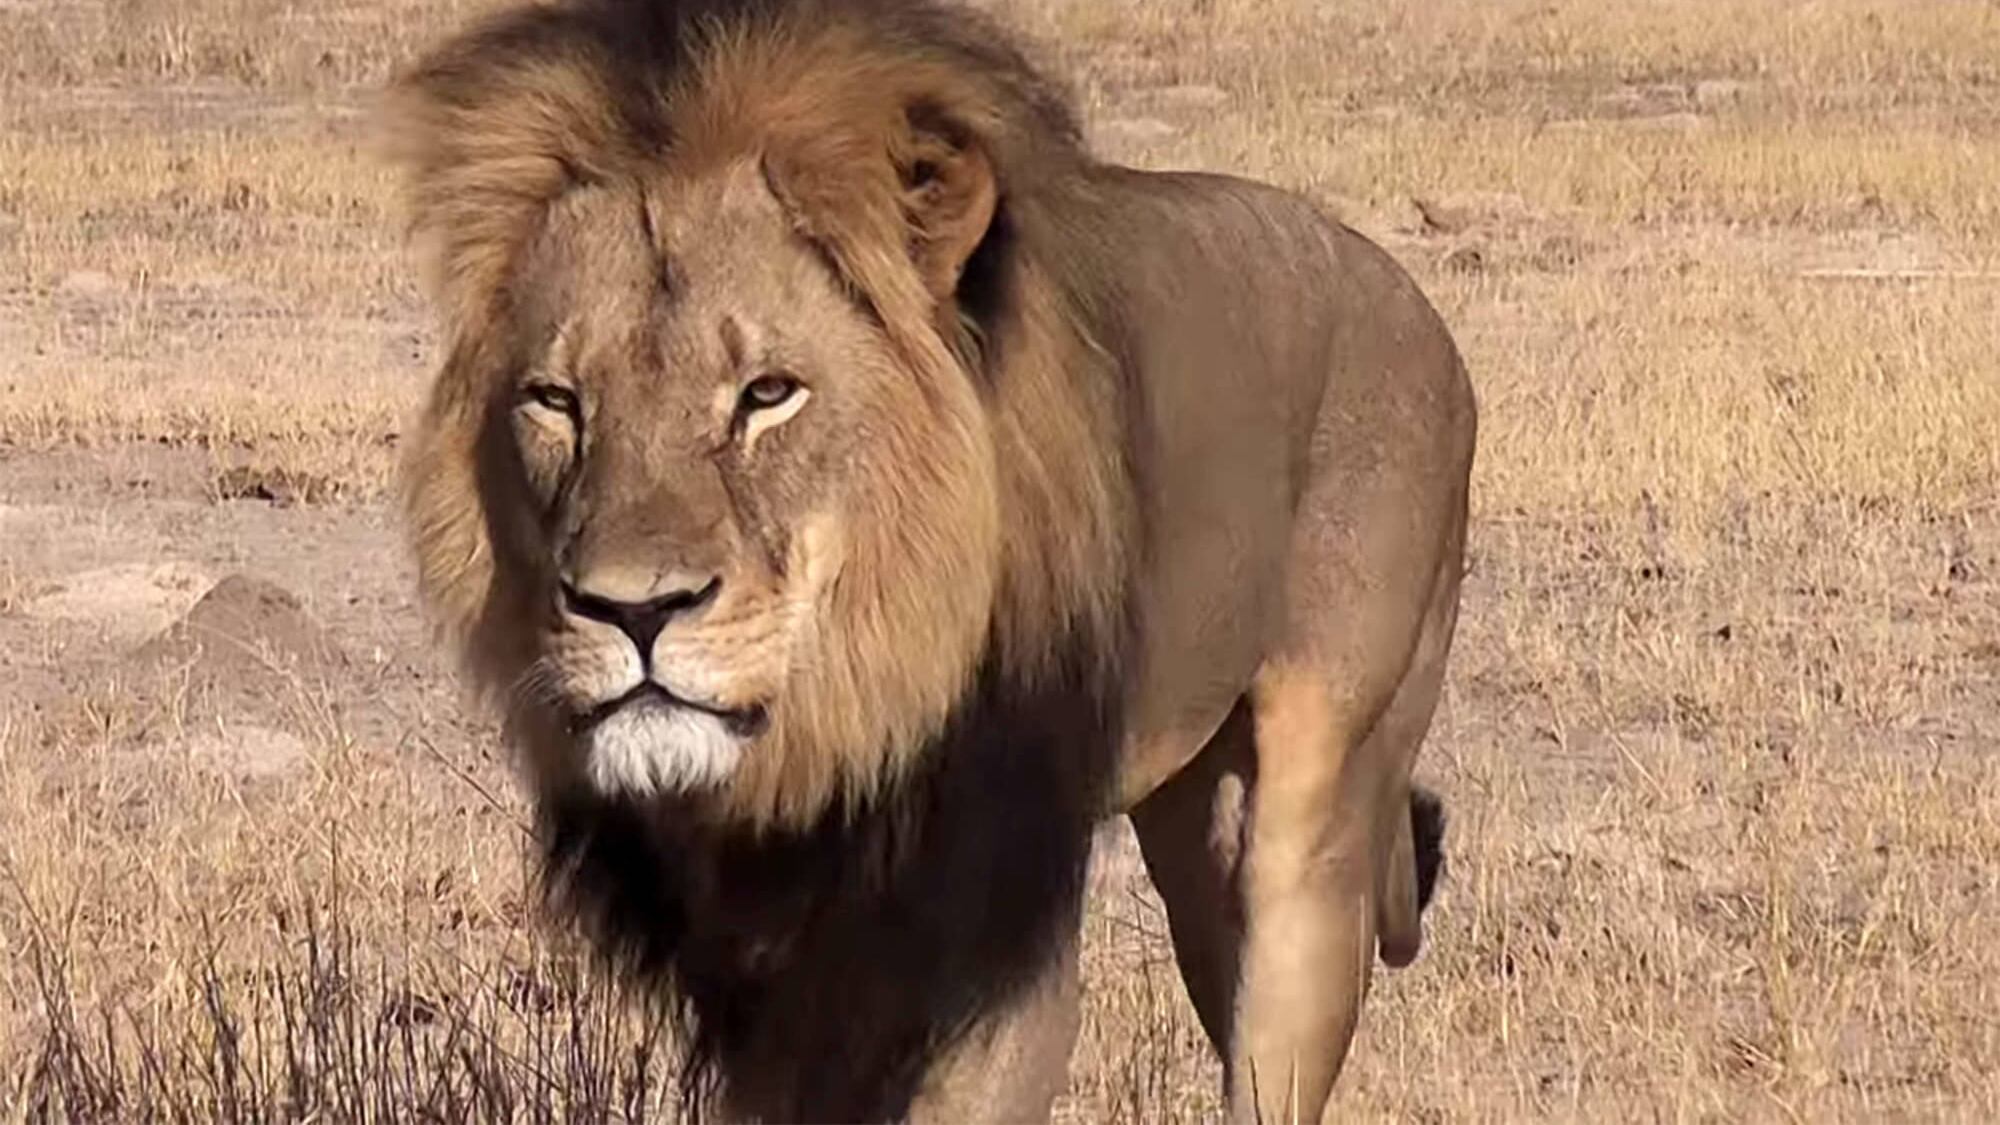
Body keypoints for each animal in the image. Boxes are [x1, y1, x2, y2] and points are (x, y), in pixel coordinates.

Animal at [384, 0, 1475, 1120]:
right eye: (555, 401)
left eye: (767, 393)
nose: (632, 610)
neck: (833, 730)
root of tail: (1410, 298)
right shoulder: (767, 983)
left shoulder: (991, 944)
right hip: (1194, 823)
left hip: (1319, 805)